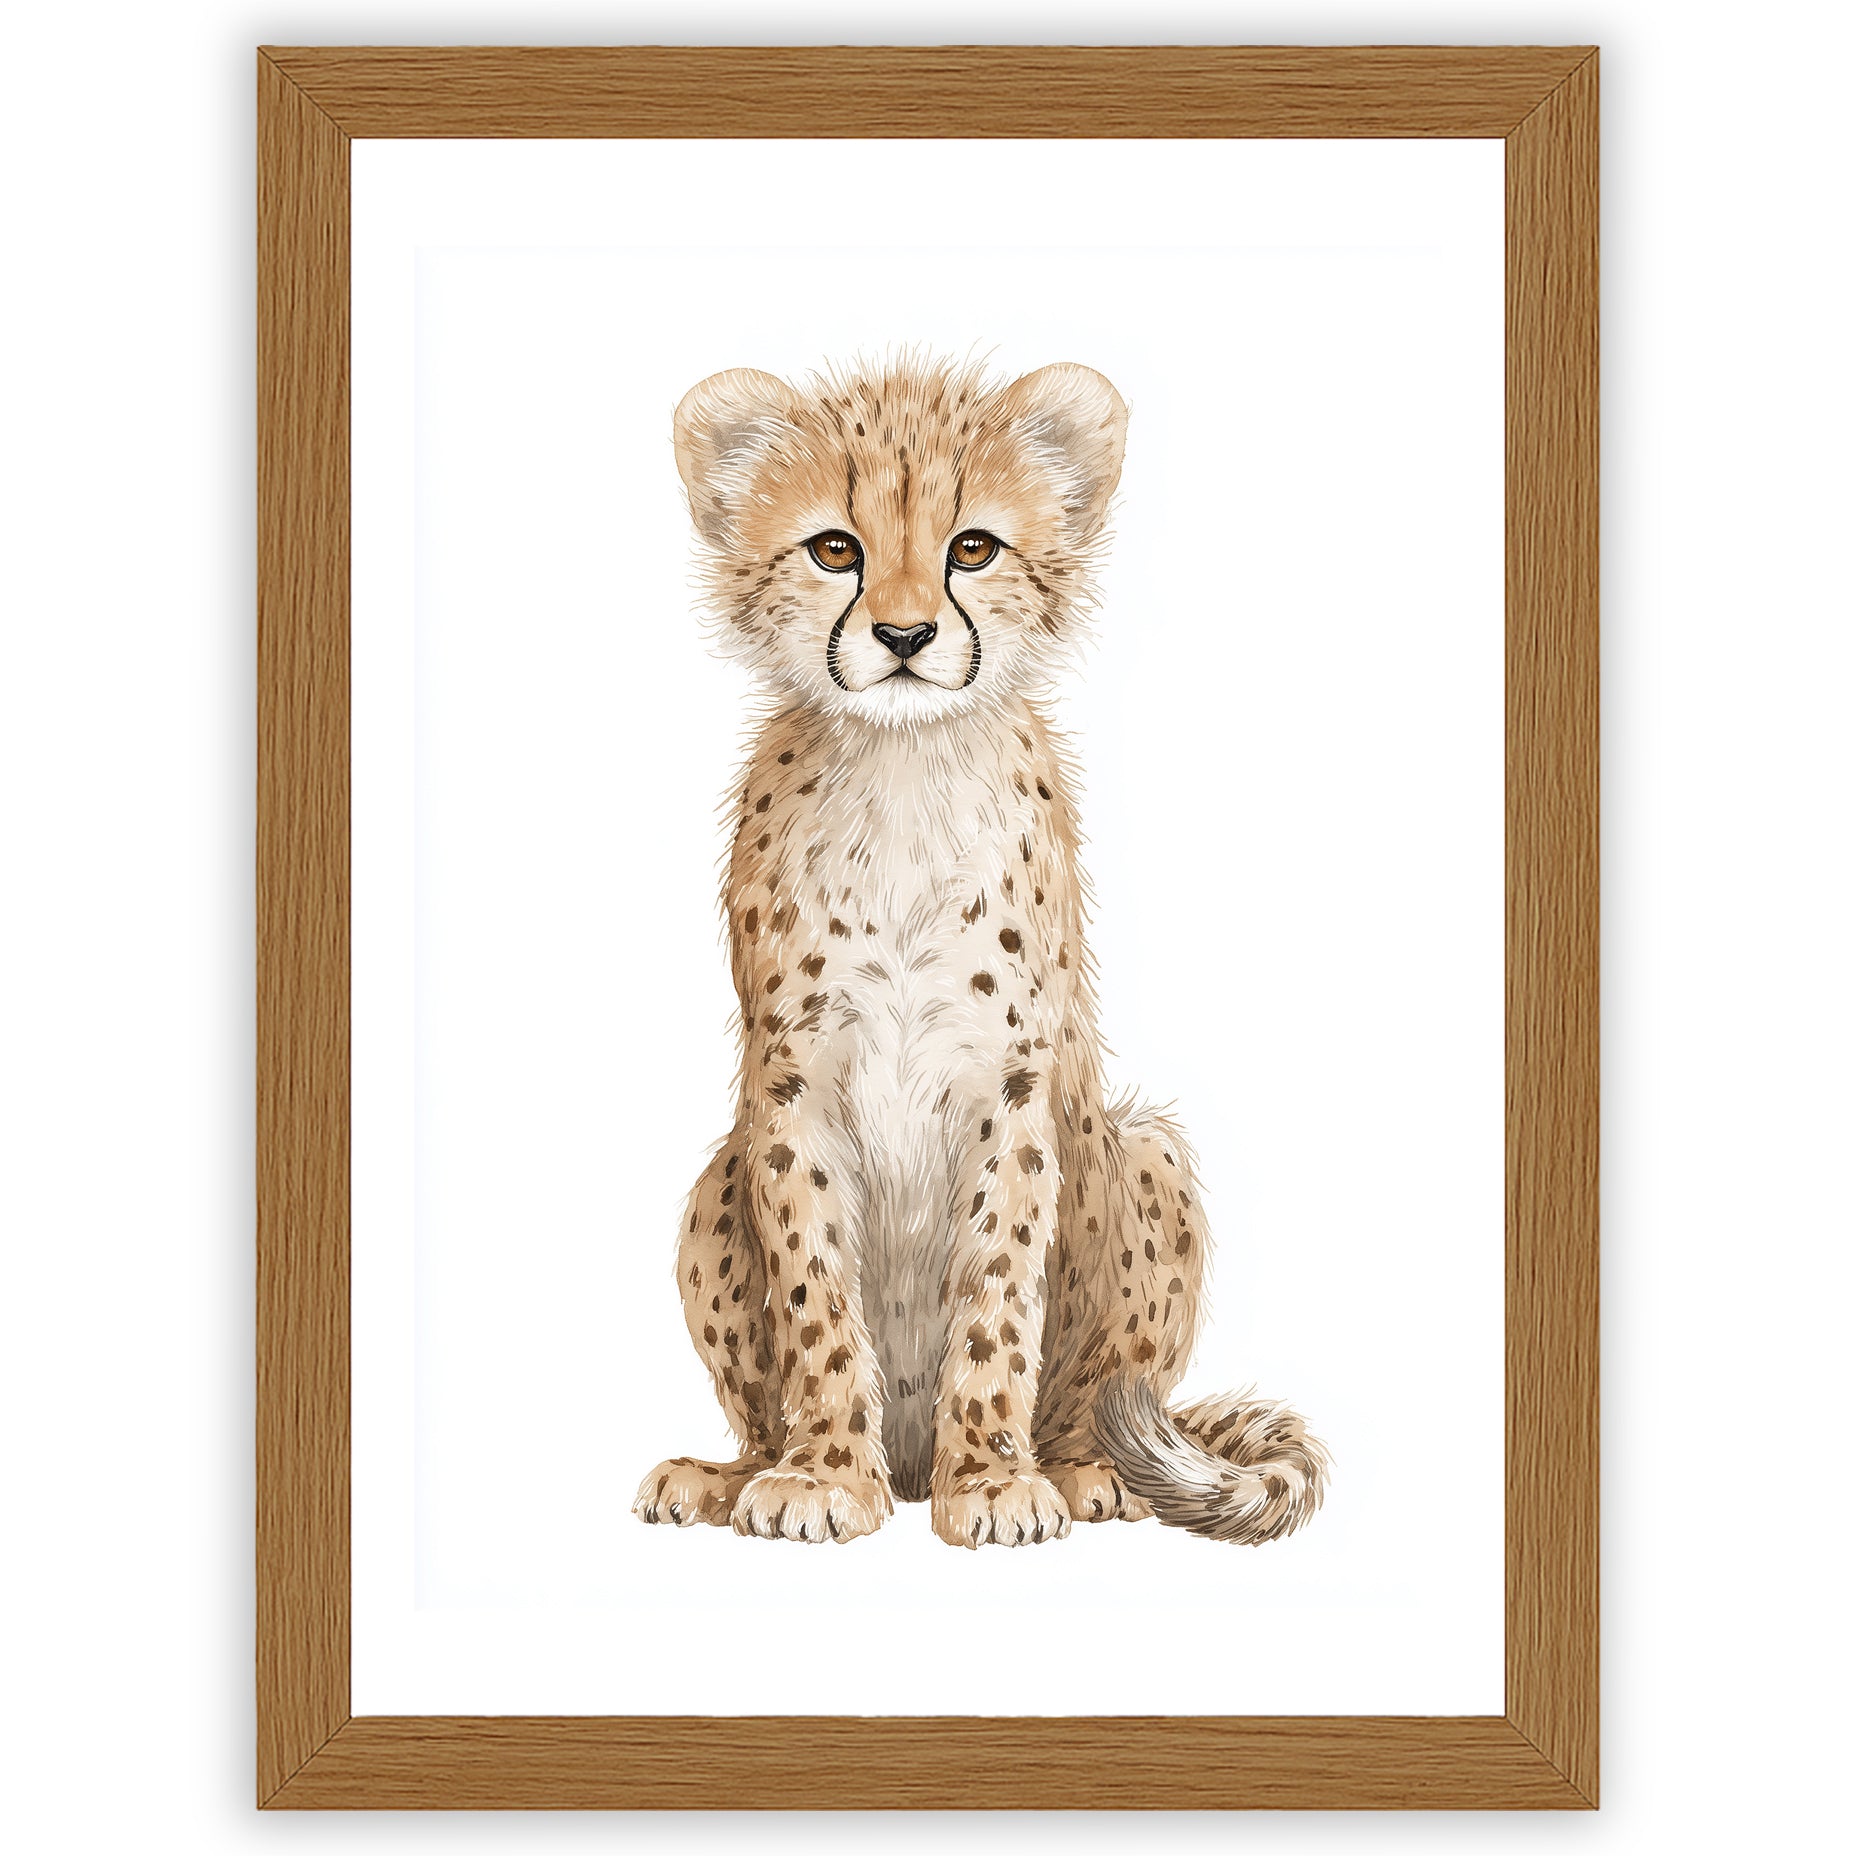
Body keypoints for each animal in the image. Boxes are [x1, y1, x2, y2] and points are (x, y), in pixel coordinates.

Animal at [633, 353, 1328, 1547]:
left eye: (971, 549)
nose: (906, 637)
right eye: (835, 549)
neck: (904, 769)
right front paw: (824, 1474)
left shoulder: (1013, 1088)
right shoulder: (789, 1089)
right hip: (715, 1178)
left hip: (1149, 1155)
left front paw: (995, 1482)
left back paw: (1084, 1470)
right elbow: (814, 1296)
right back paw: (728, 1475)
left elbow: (998, 1292)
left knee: (1104, 1393)